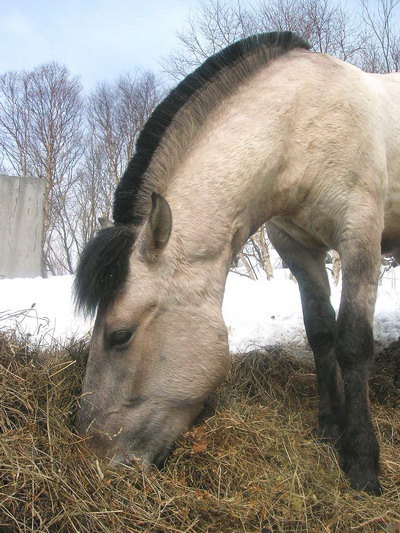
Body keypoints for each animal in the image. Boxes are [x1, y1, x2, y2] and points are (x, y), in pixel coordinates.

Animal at [75, 31, 400, 492]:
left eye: (120, 336)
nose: (95, 459)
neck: (301, 126)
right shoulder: (296, 249)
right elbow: (321, 334)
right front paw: (328, 427)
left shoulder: (360, 239)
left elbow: (352, 344)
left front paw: (362, 463)